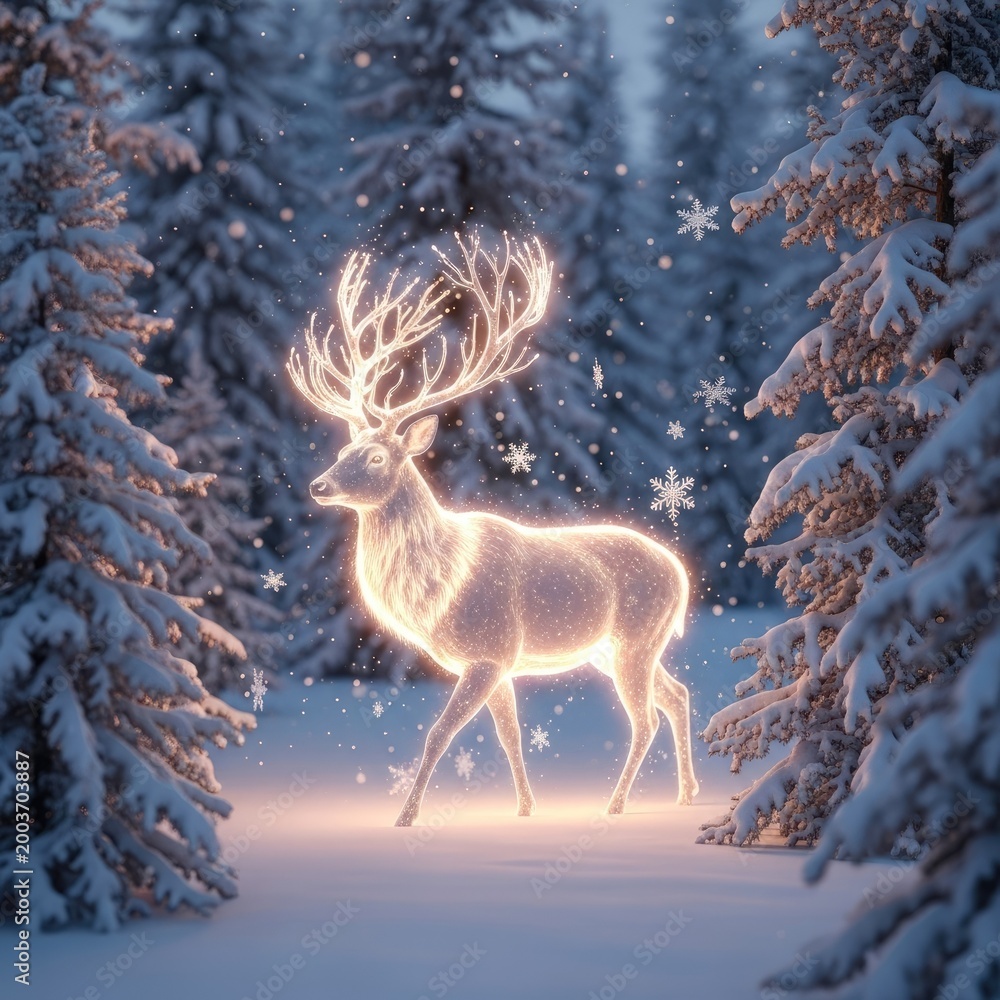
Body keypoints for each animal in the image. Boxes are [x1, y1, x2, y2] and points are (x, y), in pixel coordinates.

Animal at [287, 231, 699, 827]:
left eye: (375, 458)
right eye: (343, 451)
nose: (319, 485)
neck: (439, 587)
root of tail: (682, 574)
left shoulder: (489, 651)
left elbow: (438, 733)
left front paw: (404, 818)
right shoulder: (500, 663)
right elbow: (509, 736)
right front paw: (526, 810)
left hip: (636, 638)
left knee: (645, 718)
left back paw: (617, 805)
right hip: (616, 647)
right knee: (677, 695)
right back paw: (687, 793)